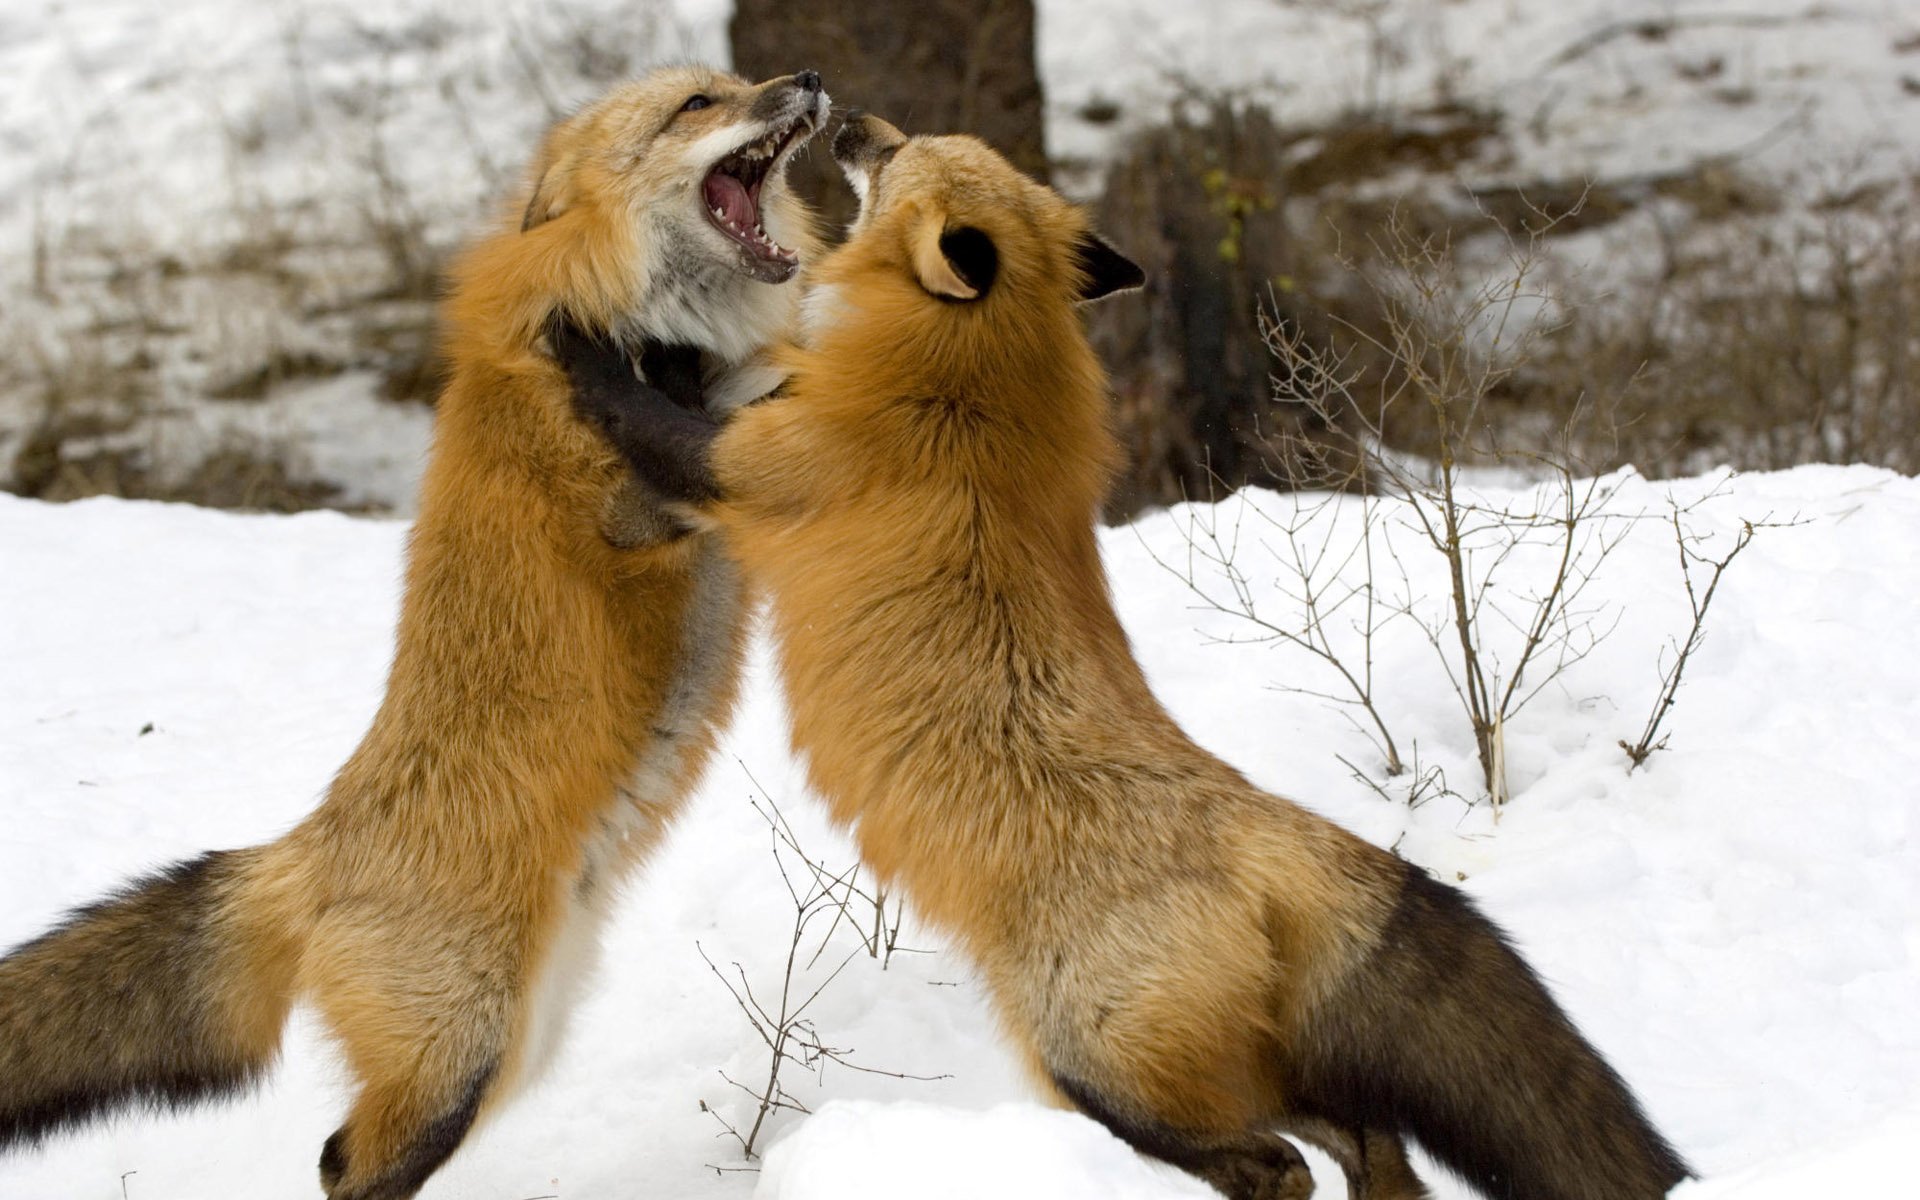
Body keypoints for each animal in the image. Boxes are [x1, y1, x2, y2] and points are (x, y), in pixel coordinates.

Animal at [5, 65, 833, 1198]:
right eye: (698, 106)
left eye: (733, 84)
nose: (807, 80)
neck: (625, 316)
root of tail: (306, 854)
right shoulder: (644, 505)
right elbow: (721, 416)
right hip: (461, 1059)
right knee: (343, 1164)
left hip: (522, 1041)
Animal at [560, 112, 1697, 1198]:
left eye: (897, 155)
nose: (847, 119)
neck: (972, 384)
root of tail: (1281, 834)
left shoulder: (752, 465)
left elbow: (640, 410)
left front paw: (584, 338)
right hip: (1240, 1069)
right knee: (1373, 1146)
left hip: (1091, 1062)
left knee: (1278, 1163)